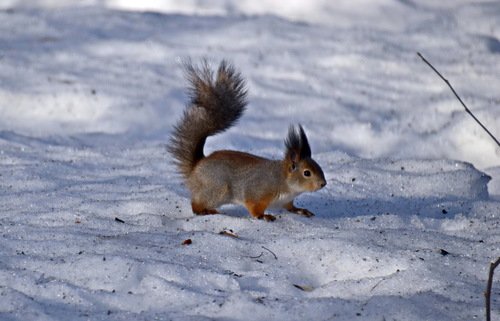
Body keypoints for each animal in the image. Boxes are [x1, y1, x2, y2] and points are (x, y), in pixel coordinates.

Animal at [168, 59, 326, 220]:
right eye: (307, 173)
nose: (323, 184)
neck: (283, 180)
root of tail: (196, 167)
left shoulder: (286, 201)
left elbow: (290, 207)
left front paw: (301, 210)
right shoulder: (257, 192)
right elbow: (253, 207)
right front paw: (263, 216)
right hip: (217, 189)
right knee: (196, 204)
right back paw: (205, 211)